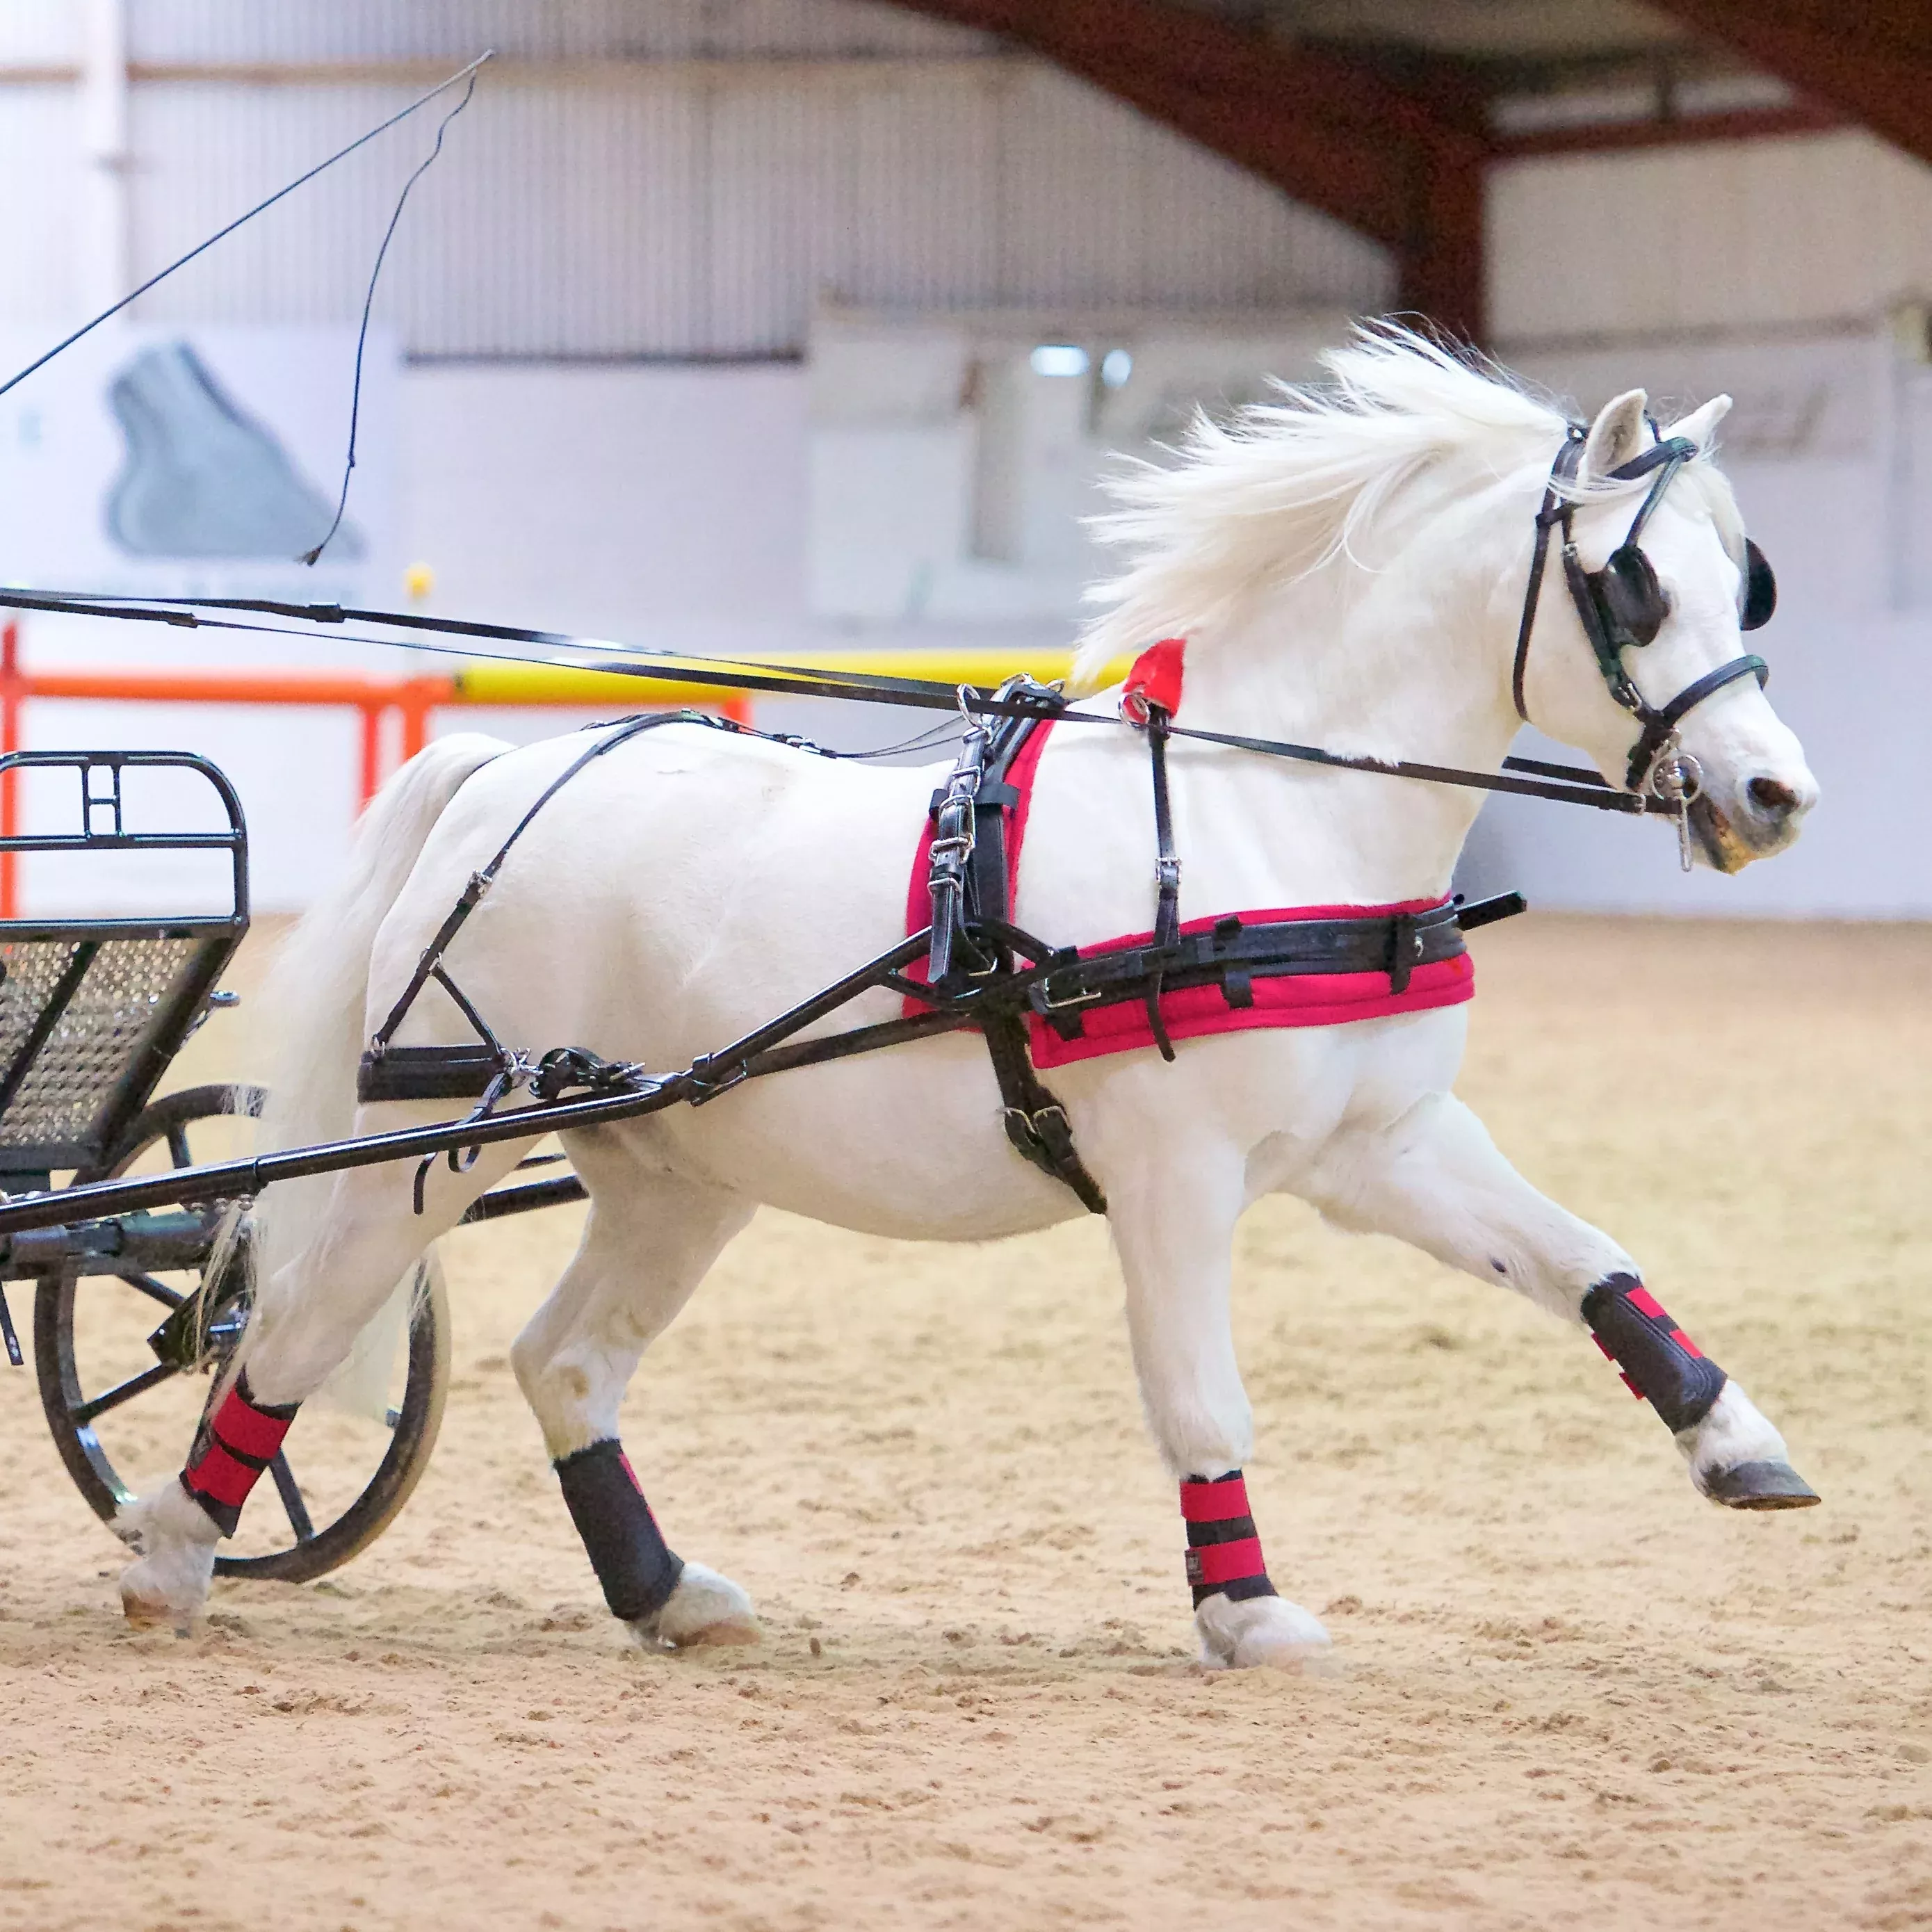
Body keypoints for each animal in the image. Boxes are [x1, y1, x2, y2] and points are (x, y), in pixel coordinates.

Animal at [118, 328, 1820, 1668]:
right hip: (432, 1147)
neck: (1261, 816)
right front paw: (1246, 1608)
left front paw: (1738, 1442)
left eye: (1747, 580)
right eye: (1633, 584)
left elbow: (1584, 1260)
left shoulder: (1383, 1145)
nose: (1773, 794)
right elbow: (1200, 1400)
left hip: (678, 1164)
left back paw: (664, 1592)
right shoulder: (1173, 1174)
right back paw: (170, 1549)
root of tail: (514, 771)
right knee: (290, 1321)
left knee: (565, 1360)